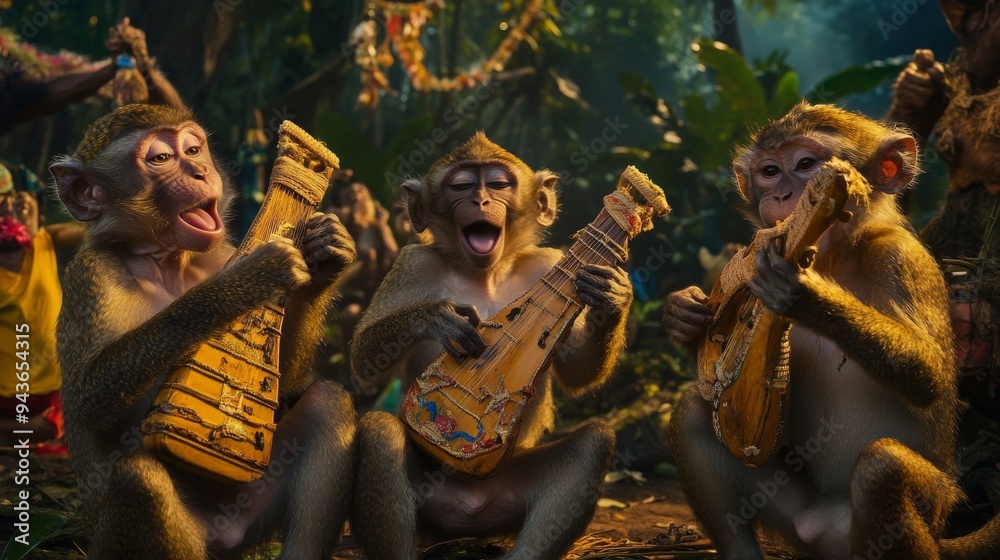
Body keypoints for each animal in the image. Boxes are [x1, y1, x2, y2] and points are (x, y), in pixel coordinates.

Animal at [49, 104, 357, 559]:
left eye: (193, 149)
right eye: (161, 158)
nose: (199, 170)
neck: (168, 263)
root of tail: (223, 534)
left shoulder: (218, 250)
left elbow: (288, 388)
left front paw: (328, 253)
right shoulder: (91, 276)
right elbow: (87, 397)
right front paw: (242, 283)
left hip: (251, 511)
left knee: (328, 402)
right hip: (117, 541)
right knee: (141, 479)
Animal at [349, 132, 627, 559]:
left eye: (498, 184)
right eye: (461, 186)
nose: (480, 201)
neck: (487, 273)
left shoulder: (550, 262)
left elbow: (578, 371)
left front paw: (612, 294)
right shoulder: (412, 262)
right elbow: (365, 362)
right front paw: (435, 316)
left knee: (594, 443)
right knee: (380, 432)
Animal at [663, 102, 1000, 559]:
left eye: (806, 164)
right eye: (769, 171)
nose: (782, 195)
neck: (835, 258)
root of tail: (821, 531)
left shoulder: (900, 257)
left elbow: (930, 371)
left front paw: (801, 293)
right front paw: (683, 314)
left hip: (930, 510)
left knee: (882, 468)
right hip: (791, 512)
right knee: (694, 413)